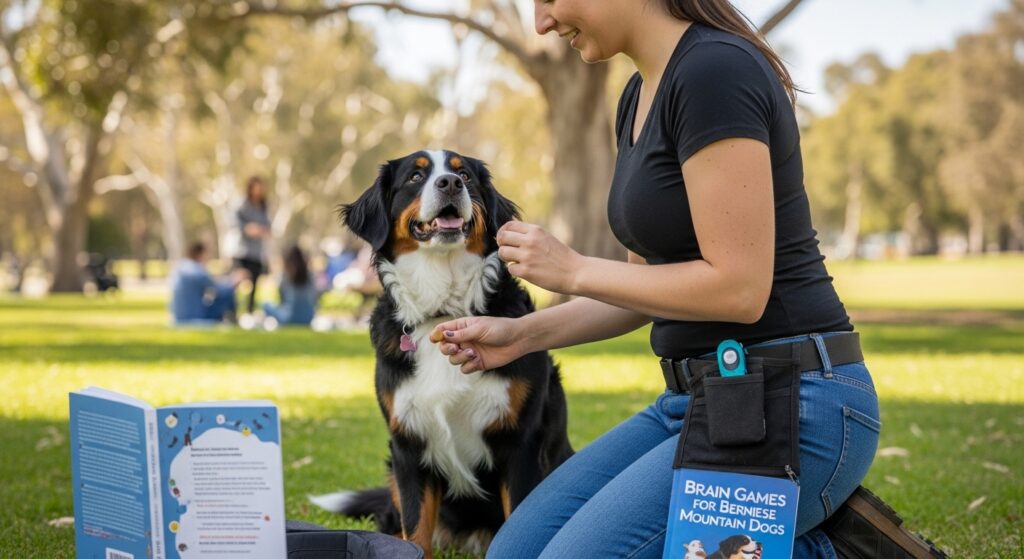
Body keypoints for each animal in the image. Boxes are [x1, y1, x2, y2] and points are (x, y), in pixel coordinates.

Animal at [310, 150, 574, 558]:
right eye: (416, 177)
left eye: (464, 174)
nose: (450, 183)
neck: (443, 312)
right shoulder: (408, 445)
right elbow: (416, 529)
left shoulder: (521, 444)